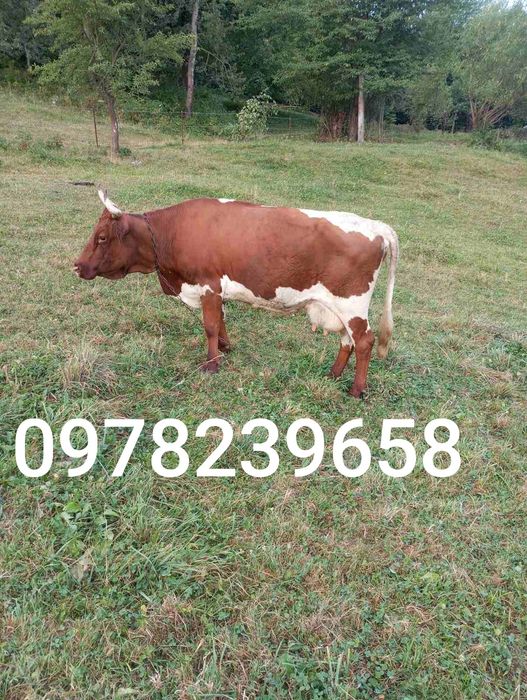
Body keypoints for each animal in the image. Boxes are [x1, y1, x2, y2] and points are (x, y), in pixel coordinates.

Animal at [74, 189, 398, 398]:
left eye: (101, 237)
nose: (77, 266)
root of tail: (376, 226)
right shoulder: (217, 290)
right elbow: (221, 319)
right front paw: (225, 347)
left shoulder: (207, 285)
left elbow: (209, 325)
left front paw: (211, 364)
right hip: (339, 308)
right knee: (347, 341)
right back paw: (333, 374)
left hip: (352, 305)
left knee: (364, 341)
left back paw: (356, 389)